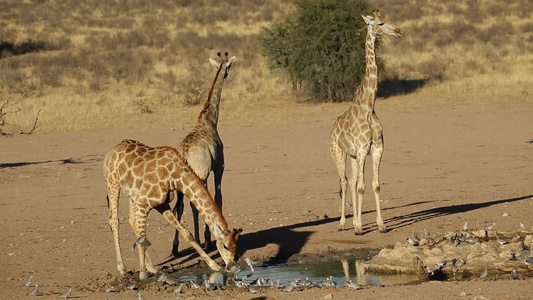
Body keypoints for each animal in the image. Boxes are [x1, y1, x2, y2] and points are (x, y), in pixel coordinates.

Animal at [104, 139, 241, 280]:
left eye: (235, 247)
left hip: (132, 194)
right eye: (225, 246)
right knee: (114, 220)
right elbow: (142, 240)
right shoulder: (143, 203)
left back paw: (151, 268)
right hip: (112, 183)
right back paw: (122, 269)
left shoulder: (162, 204)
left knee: (131, 220)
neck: (174, 177)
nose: (231, 266)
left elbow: (187, 233)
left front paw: (214, 266)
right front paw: (142, 274)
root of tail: (111, 152)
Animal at [170, 51, 237, 255]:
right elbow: (217, 198)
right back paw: (203, 241)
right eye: (227, 67)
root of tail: (184, 153)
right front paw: (210, 238)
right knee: (194, 205)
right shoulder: (219, 166)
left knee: (179, 207)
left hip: (179, 181)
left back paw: (175, 247)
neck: (209, 120)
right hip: (200, 174)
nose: (226, 74)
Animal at [328, 10, 404, 234]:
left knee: (353, 182)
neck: (369, 107)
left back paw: (353, 221)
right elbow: (361, 187)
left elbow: (374, 185)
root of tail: (333, 128)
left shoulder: (377, 149)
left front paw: (381, 225)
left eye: (388, 19)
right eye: (380, 23)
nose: (399, 31)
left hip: (353, 155)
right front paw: (360, 227)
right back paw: (343, 223)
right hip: (338, 152)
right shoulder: (362, 149)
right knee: (344, 182)